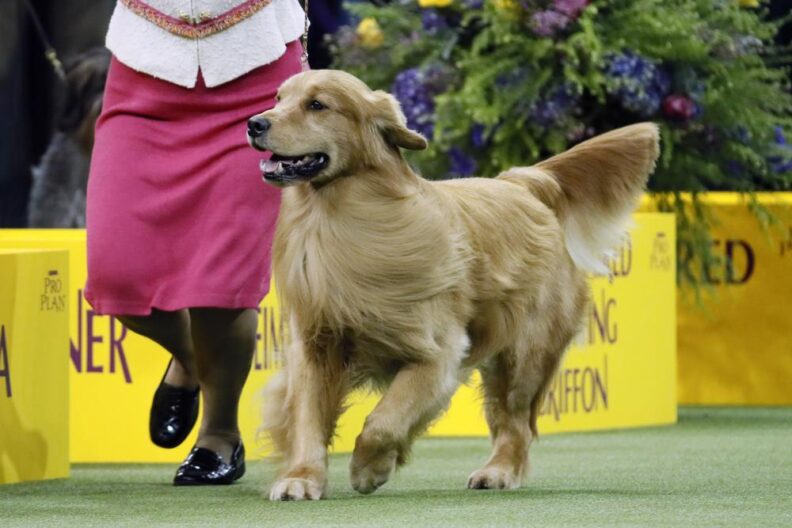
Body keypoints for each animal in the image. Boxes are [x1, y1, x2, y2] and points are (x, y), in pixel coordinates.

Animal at [246, 69, 656, 500]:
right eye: (278, 98)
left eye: (317, 105)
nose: (254, 124)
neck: (339, 220)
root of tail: (521, 182)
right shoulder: (314, 346)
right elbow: (307, 418)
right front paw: (301, 477)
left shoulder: (438, 353)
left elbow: (384, 420)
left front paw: (369, 468)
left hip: (525, 354)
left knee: (516, 423)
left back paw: (498, 471)